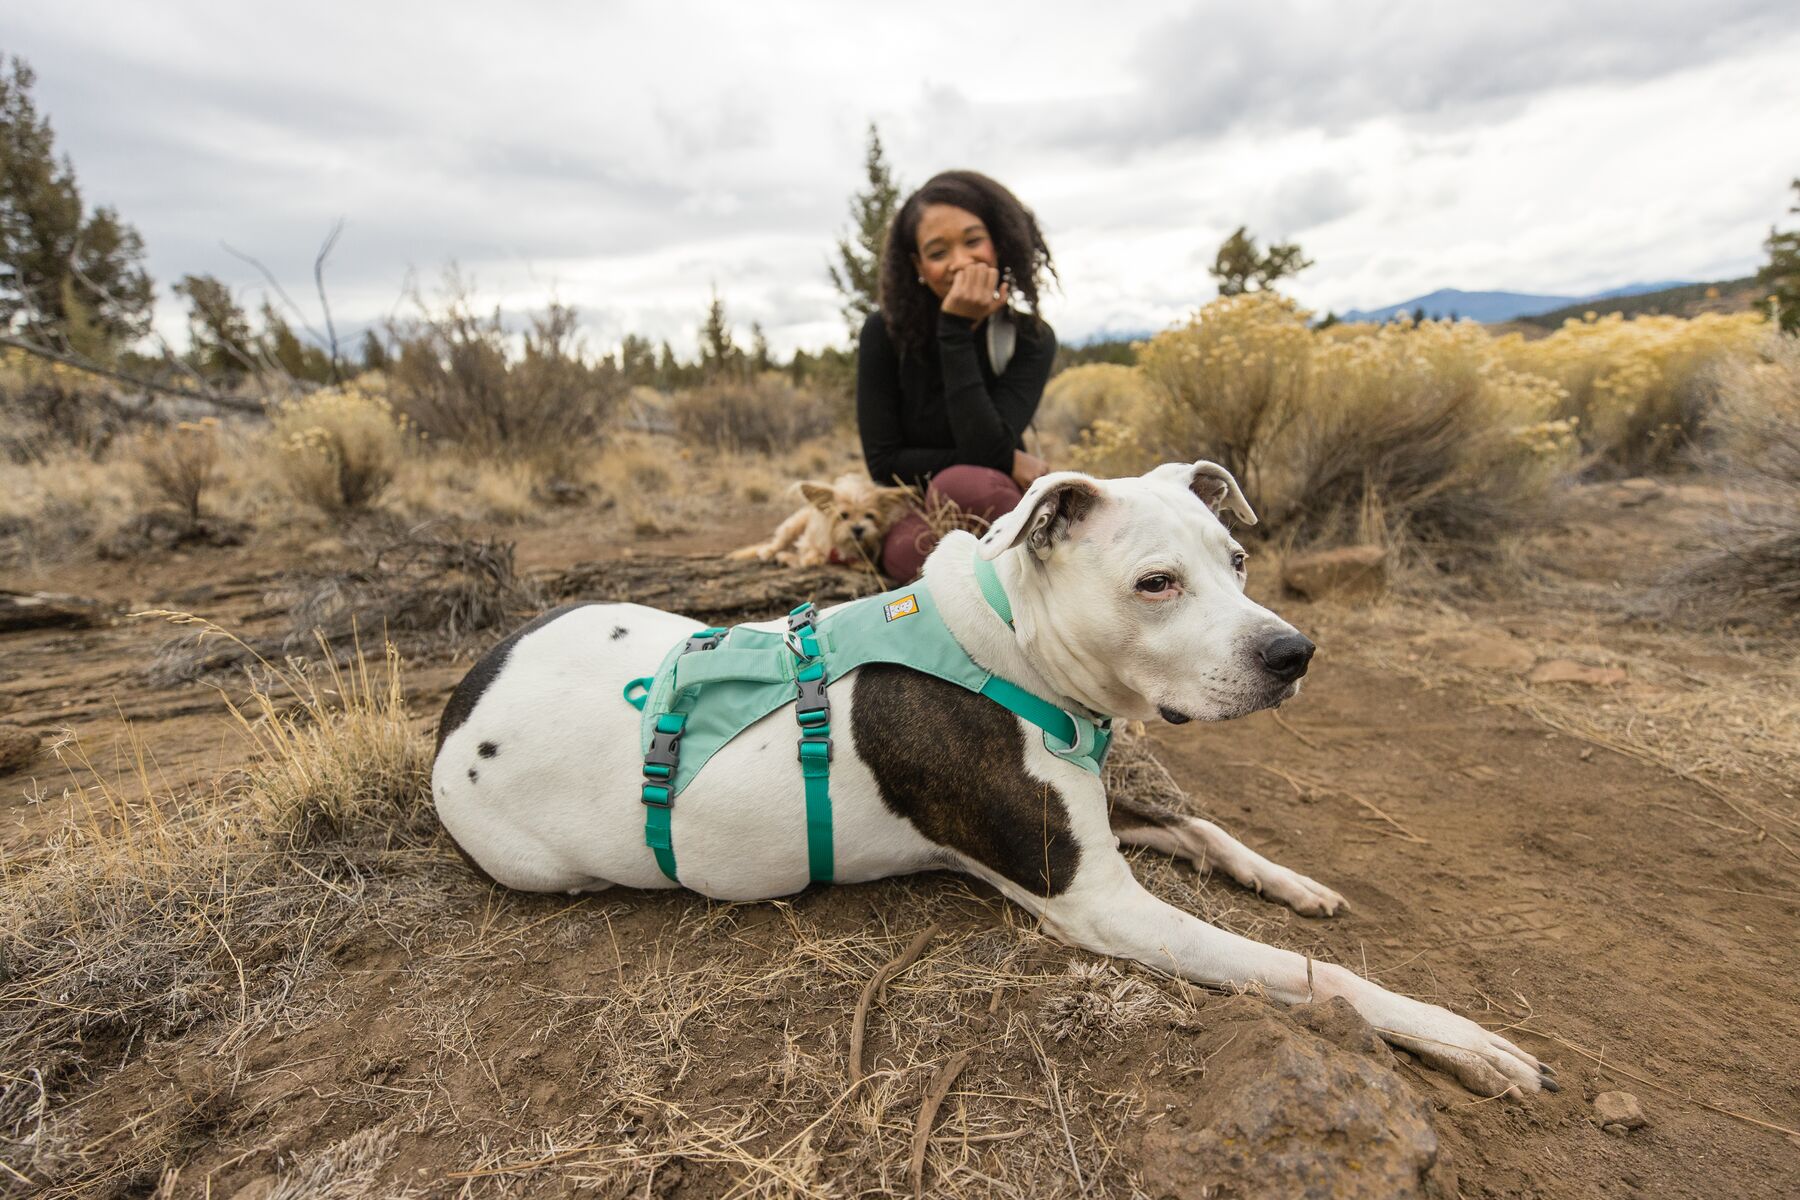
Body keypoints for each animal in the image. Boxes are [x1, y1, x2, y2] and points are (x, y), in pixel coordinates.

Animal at [723, 471, 907, 572]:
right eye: (843, 515)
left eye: (869, 516)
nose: (858, 529)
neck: (842, 545)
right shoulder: (807, 541)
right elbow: (811, 551)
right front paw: (813, 558)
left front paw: (863, 564)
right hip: (793, 525)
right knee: (778, 544)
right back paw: (770, 553)